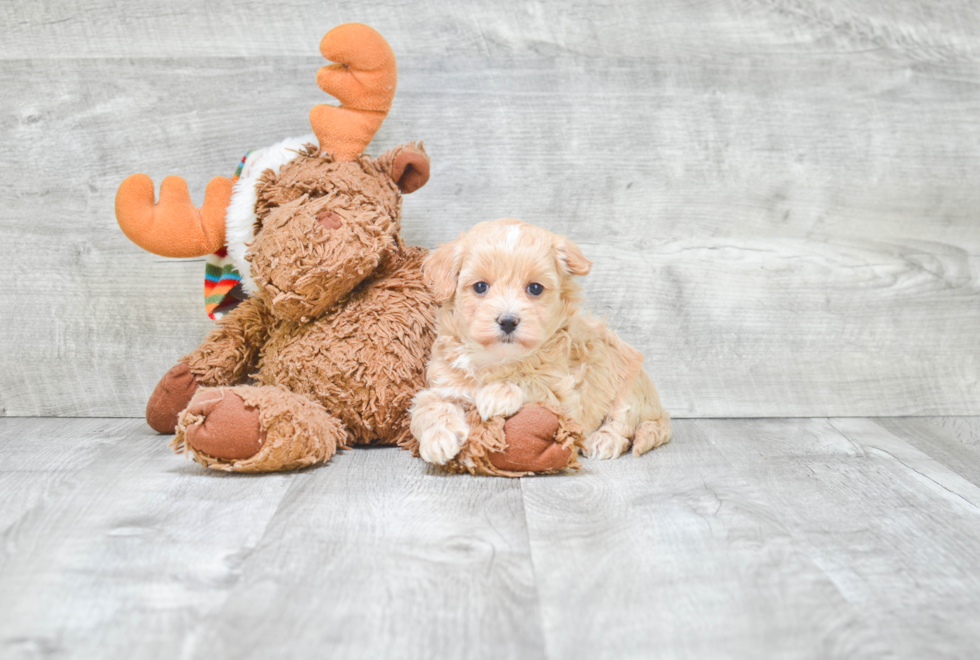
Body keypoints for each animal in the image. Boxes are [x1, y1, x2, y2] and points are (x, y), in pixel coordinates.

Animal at [410, 219, 668, 466]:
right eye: (480, 287)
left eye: (535, 288)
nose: (508, 321)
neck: (497, 358)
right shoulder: (444, 384)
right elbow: (428, 405)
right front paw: (439, 439)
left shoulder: (567, 400)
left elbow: (530, 380)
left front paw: (496, 393)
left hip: (630, 384)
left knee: (623, 423)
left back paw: (604, 440)